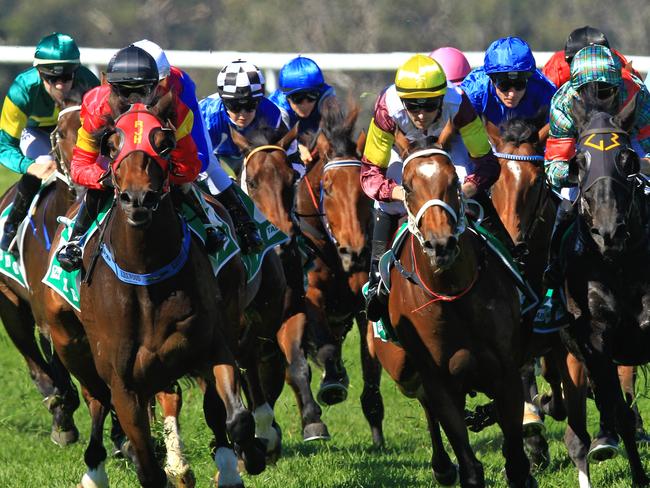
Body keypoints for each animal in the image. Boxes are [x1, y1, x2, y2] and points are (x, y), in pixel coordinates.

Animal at [44, 97, 264, 486]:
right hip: (70, 342)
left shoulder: (211, 345)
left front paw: (246, 458)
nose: (138, 199)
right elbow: (146, 464)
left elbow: (235, 416)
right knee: (96, 399)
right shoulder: (124, 383)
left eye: (164, 143)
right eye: (111, 145)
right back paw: (95, 467)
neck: (146, 277)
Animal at [292, 104, 382, 446]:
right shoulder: (311, 295)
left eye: (364, 190)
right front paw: (331, 383)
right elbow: (325, 348)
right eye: (328, 189)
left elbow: (371, 365)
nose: (354, 252)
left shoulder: (363, 303)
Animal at [370, 137, 532, 488]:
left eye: (454, 182)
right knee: (424, 401)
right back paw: (442, 466)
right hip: (400, 368)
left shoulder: (506, 371)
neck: (453, 294)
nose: (440, 244)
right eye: (407, 186)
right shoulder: (439, 379)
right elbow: (468, 464)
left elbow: (516, 459)